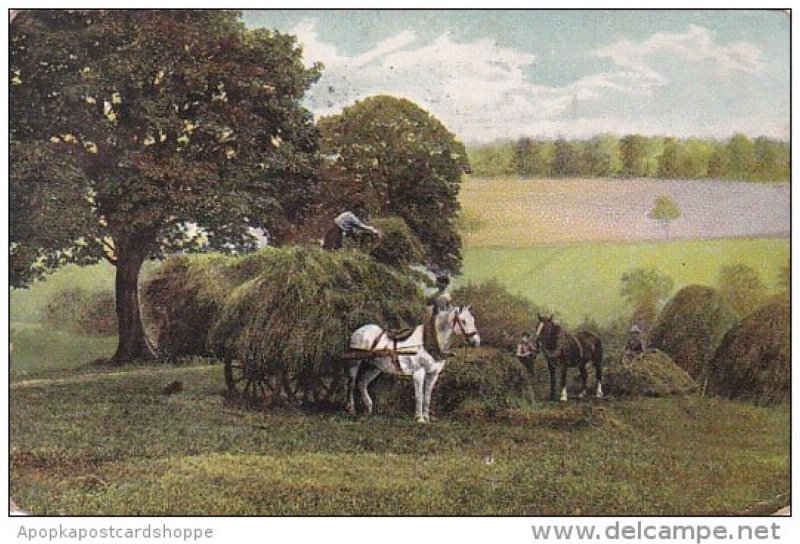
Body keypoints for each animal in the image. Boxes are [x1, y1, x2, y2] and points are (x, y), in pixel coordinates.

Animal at [346, 304, 482, 422]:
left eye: (473, 320)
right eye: (463, 321)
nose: (476, 341)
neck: (428, 342)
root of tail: (358, 330)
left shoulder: (433, 374)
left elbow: (427, 397)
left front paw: (427, 418)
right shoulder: (418, 373)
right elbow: (419, 396)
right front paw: (419, 418)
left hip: (374, 366)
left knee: (362, 383)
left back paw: (369, 408)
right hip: (355, 362)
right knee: (351, 383)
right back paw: (351, 409)